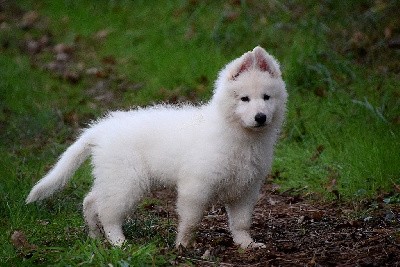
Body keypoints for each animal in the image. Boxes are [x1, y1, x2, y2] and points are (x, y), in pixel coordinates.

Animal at [25, 47, 288, 250]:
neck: (238, 135)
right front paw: (183, 245)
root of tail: (101, 128)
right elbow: (191, 220)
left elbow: (241, 222)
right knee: (108, 212)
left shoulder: (246, 188)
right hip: (127, 180)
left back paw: (95, 237)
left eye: (266, 97)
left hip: (113, 177)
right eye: (244, 99)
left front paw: (247, 244)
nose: (261, 117)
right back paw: (118, 242)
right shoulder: (197, 185)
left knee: (91, 202)